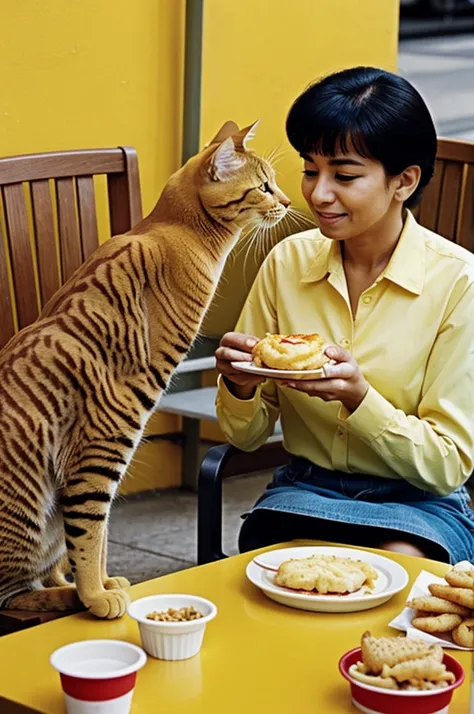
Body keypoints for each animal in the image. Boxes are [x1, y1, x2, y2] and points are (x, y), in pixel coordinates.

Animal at [0, 119, 288, 616]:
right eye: (263, 187)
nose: (287, 202)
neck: (172, 229)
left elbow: (94, 540)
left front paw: (97, 587)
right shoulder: (102, 447)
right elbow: (91, 533)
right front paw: (95, 595)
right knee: (12, 595)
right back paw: (69, 597)